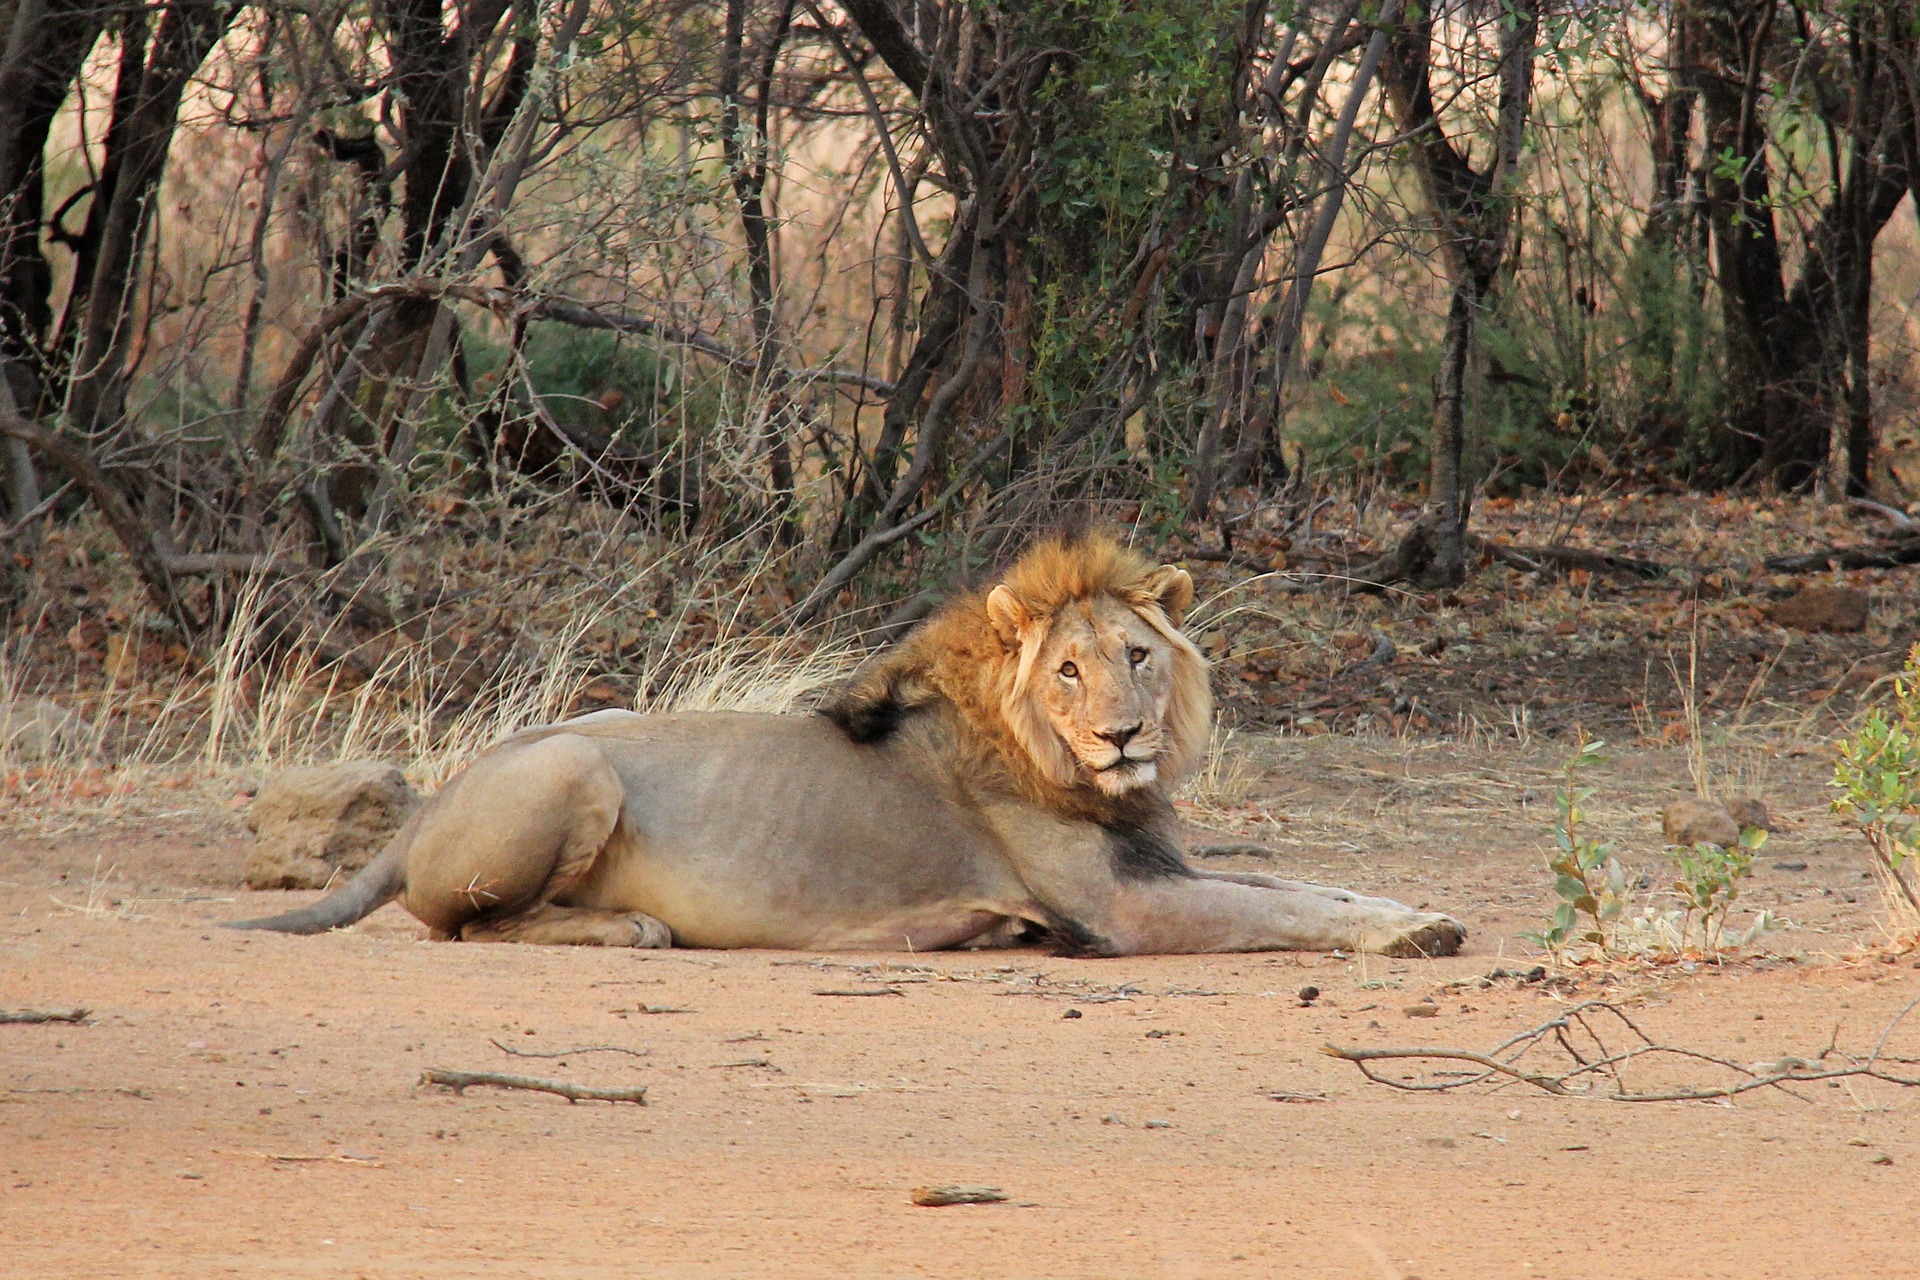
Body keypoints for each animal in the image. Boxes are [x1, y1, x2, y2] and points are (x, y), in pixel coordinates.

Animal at [236, 525, 1466, 955]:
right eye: (1067, 669)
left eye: (1137, 655)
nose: (1124, 735)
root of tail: (438, 798)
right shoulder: (1123, 909)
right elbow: (1283, 909)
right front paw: (1412, 935)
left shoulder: (1158, 864)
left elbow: (1304, 884)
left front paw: (1419, 909)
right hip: (575, 762)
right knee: (470, 925)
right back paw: (632, 926)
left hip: (593, 720)